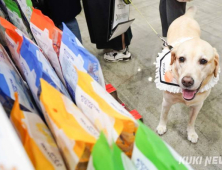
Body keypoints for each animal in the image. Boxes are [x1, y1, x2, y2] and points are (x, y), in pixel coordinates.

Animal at [157, 6, 219, 143]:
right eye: (181, 59)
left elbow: (191, 121)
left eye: (203, 61)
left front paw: (191, 133)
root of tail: (186, 16)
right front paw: (161, 126)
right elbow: (163, 115)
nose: (187, 81)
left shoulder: (197, 106)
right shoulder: (166, 102)